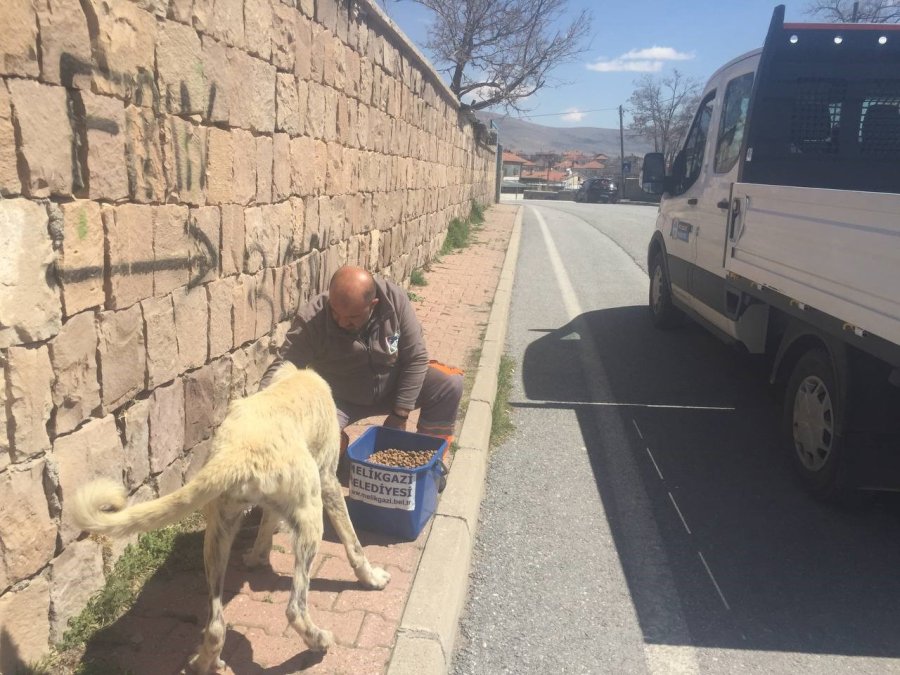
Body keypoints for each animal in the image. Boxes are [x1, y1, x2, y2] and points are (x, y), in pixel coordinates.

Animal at [71, 368, 390, 672]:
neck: (295, 376)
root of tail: (239, 451)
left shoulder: (269, 506)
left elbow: (265, 529)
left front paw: (256, 558)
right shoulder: (328, 482)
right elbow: (354, 544)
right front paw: (372, 577)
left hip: (218, 534)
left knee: (215, 627)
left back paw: (203, 663)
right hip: (310, 520)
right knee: (294, 609)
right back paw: (319, 640)